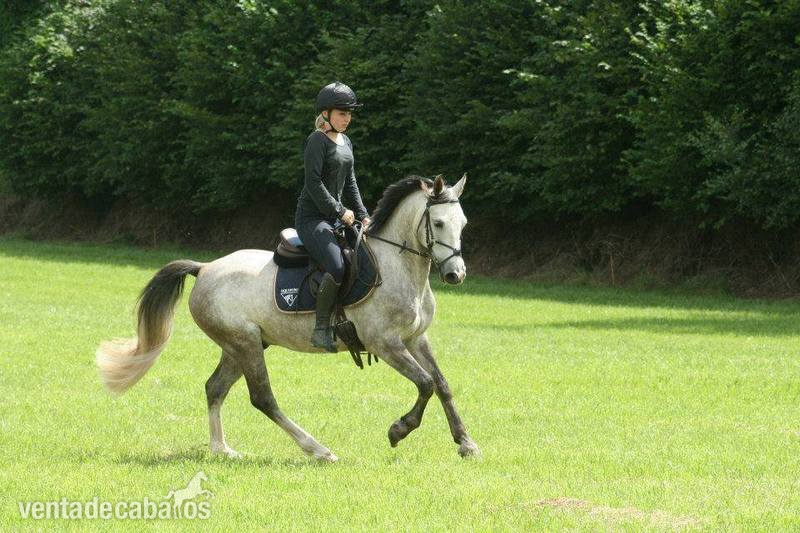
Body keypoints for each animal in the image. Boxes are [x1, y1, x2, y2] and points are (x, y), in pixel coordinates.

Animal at [96, 174, 480, 462]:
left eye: (463, 224)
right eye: (439, 223)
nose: (456, 275)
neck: (397, 266)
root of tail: (204, 268)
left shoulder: (415, 339)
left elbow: (441, 384)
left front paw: (466, 443)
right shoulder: (384, 343)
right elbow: (425, 384)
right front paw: (398, 430)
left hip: (239, 346)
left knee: (215, 388)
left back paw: (222, 450)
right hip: (245, 344)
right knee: (262, 398)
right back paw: (318, 450)